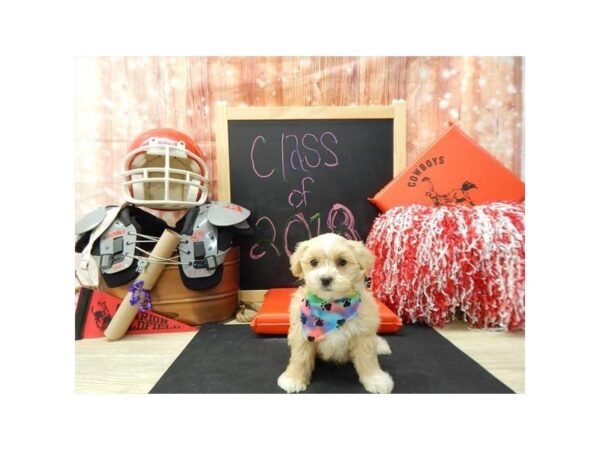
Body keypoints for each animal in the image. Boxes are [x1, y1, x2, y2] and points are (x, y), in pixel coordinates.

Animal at [276, 234, 394, 392]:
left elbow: (367, 358)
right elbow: (300, 357)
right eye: (313, 262)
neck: (330, 308)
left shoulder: (363, 334)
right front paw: (293, 378)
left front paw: (376, 379)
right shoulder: (302, 333)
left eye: (342, 261)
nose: (325, 279)